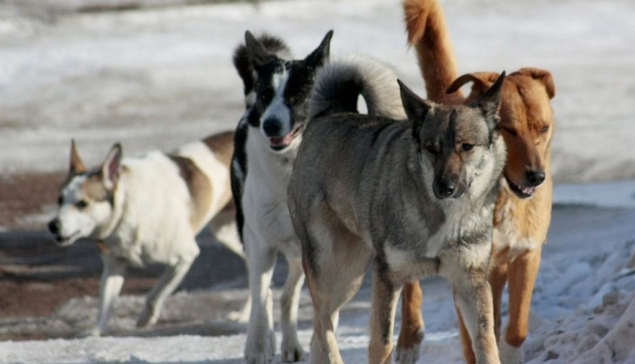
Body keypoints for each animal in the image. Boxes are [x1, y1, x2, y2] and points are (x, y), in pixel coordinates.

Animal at [232, 29, 332, 362]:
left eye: (297, 95)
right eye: (266, 95)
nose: (270, 124)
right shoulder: (260, 243)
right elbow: (261, 298)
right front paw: (258, 346)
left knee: (289, 296)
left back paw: (291, 344)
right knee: (266, 294)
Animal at [402, 1, 556, 362]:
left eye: (543, 128)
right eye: (510, 130)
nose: (537, 176)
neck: (501, 198)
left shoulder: (527, 255)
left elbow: (516, 328)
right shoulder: (469, 271)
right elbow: (475, 339)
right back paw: (407, 339)